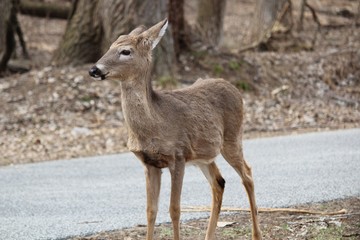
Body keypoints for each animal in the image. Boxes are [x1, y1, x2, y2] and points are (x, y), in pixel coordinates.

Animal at [87, 18, 262, 240]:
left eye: (125, 51)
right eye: (109, 46)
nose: (94, 69)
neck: (154, 123)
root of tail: (234, 88)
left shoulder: (177, 156)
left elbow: (174, 209)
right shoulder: (149, 164)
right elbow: (150, 211)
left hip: (232, 137)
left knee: (247, 175)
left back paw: (257, 234)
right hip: (203, 155)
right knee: (219, 182)